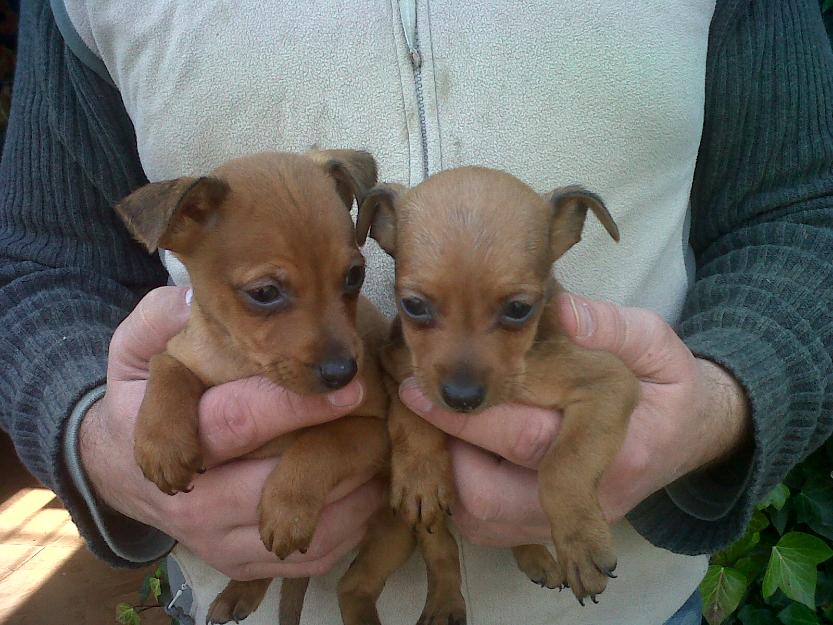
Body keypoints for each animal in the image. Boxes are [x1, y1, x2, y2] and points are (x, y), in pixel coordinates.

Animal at [111, 150, 394, 624]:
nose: (343, 372)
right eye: (264, 293)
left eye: (355, 276)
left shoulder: (373, 428)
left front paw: (287, 506)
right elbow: (166, 367)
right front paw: (161, 443)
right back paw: (239, 591)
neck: (244, 365)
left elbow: (321, 442)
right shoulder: (184, 348)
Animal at [338, 163, 636, 620]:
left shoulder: (608, 382)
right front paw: (421, 473)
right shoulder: (396, 368)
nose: (461, 398)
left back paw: (534, 555)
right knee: (435, 556)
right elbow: (409, 416)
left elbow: (563, 464)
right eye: (413, 306)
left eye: (518, 310)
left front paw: (580, 543)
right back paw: (445, 601)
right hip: (412, 531)